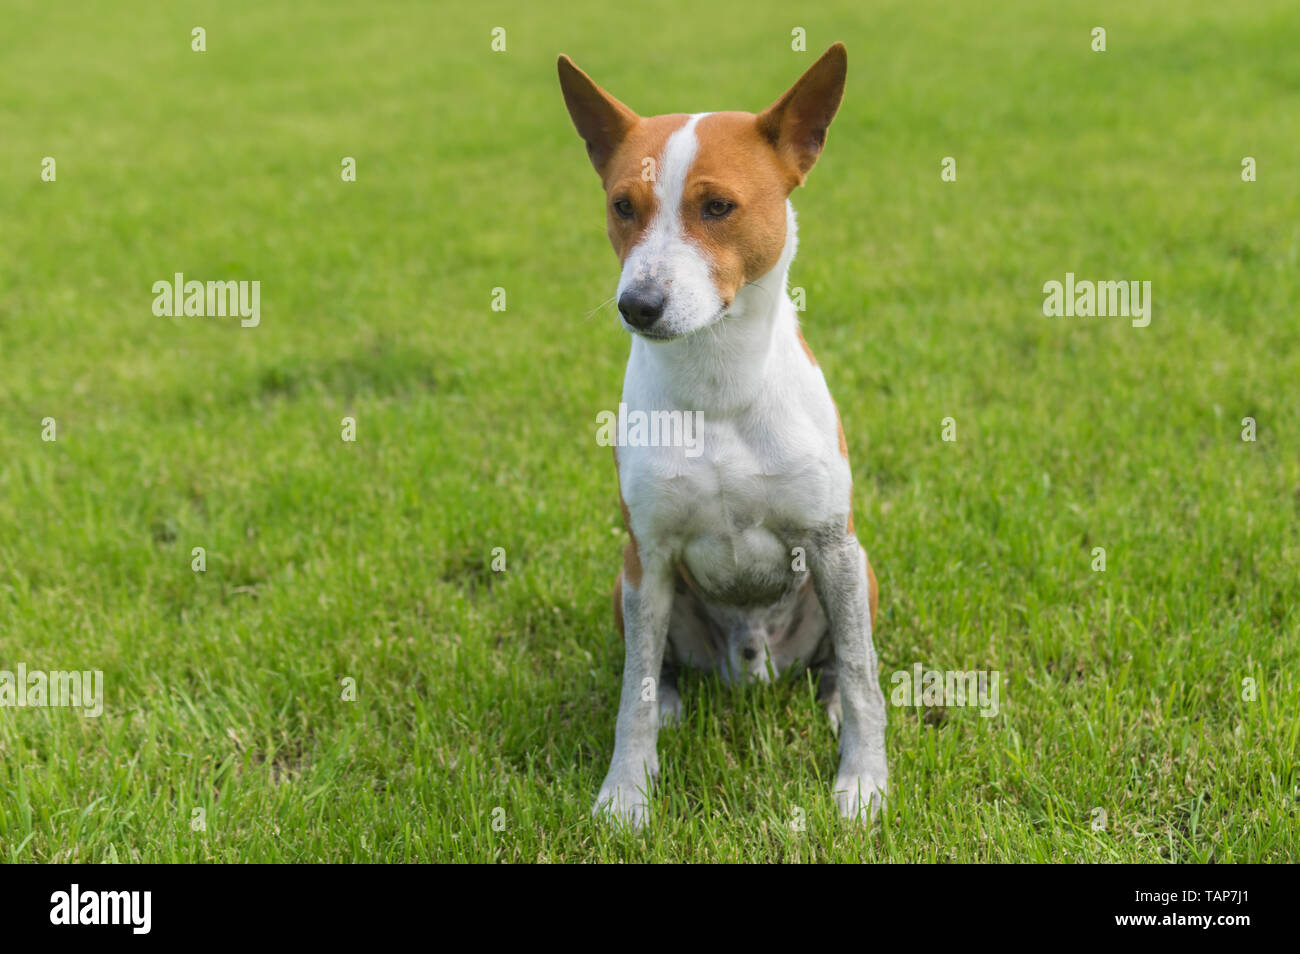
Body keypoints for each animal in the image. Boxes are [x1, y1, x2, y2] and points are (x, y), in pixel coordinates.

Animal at [553, 42, 889, 831]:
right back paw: (678, 703)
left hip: (859, 573)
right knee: (660, 671)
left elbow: (863, 675)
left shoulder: (832, 542)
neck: (720, 387)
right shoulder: (648, 555)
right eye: (623, 206)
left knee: (839, 661)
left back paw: (828, 700)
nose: (638, 304)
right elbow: (634, 696)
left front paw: (862, 782)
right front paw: (626, 793)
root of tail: (752, 666)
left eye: (717, 207)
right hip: (625, 588)